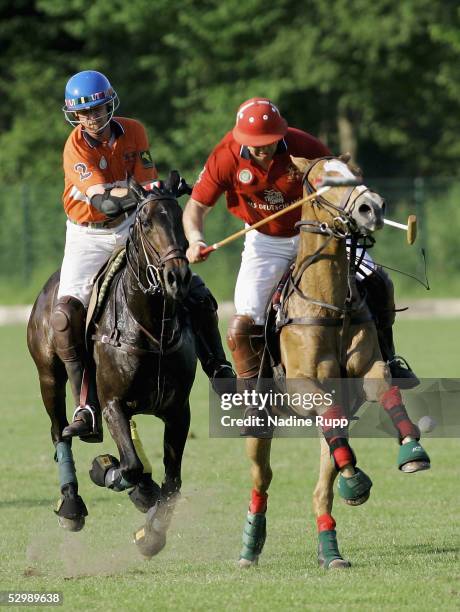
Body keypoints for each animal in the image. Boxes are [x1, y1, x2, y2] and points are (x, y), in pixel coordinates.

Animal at [27, 179, 196, 556]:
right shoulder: (112, 403)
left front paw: (151, 533)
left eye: (180, 217)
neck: (150, 328)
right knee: (59, 431)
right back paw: (71, 503)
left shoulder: (178, 411)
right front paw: (106, 471)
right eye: (145, 222)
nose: (177, 277)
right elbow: (129, 466)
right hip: (49, 375)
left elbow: (173, 481)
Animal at [239, 157, 430, 568]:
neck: (328, 305)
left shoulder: (369, 368)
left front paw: (412, 452)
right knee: (262, 479)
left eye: (356, 173)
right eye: (325, 181)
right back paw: (250, 547)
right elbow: (325, 410)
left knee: (322, 485)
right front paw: (356, 478)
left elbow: (385, 389)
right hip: (261, 428)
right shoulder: (301, 385)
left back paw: (331, 549)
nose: (372, 207)